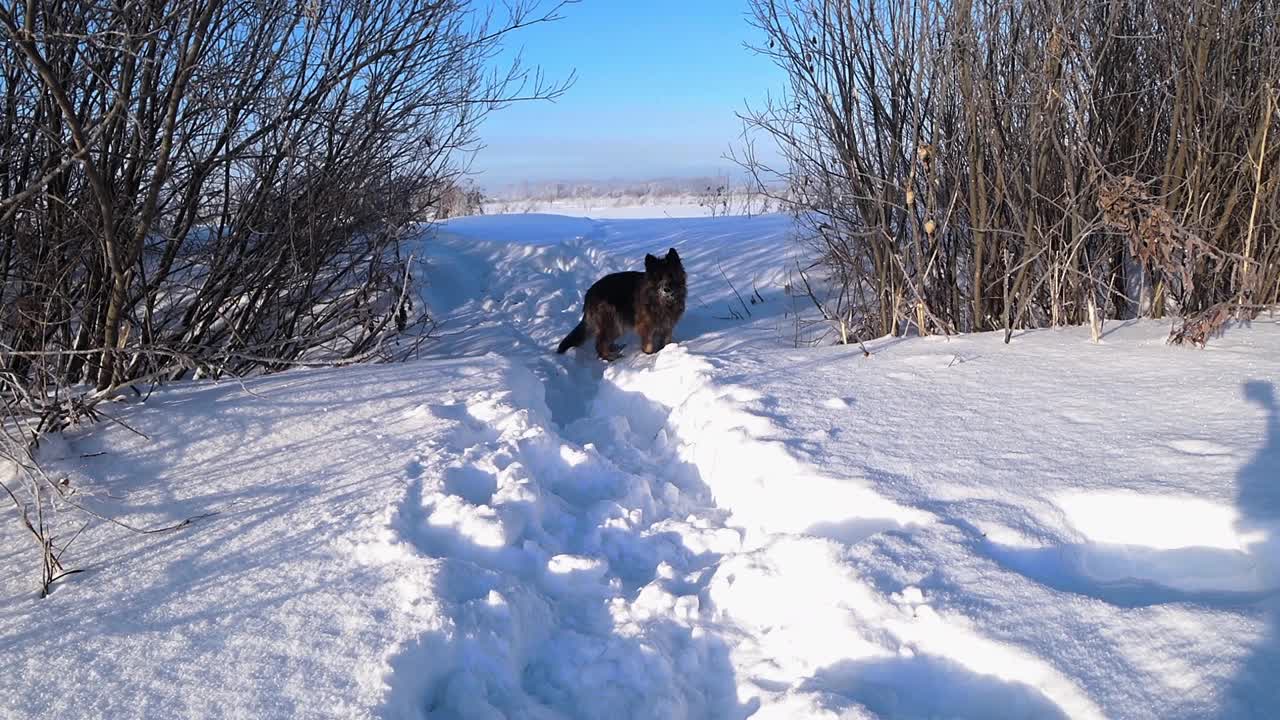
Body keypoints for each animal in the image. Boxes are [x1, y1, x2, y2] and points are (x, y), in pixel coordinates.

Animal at [555, 248, 686, 361]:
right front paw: (648, 357)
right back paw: (609, 358)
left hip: (617, 325)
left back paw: (613, 348)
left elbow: (666, 342)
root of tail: (589, 294)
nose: (666, 289)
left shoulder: (667, 326)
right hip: (612, 322)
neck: (663, 301)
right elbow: (648, 346)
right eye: (658, 277)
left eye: (671, 275)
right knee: (599, 344)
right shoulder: (646, 328)